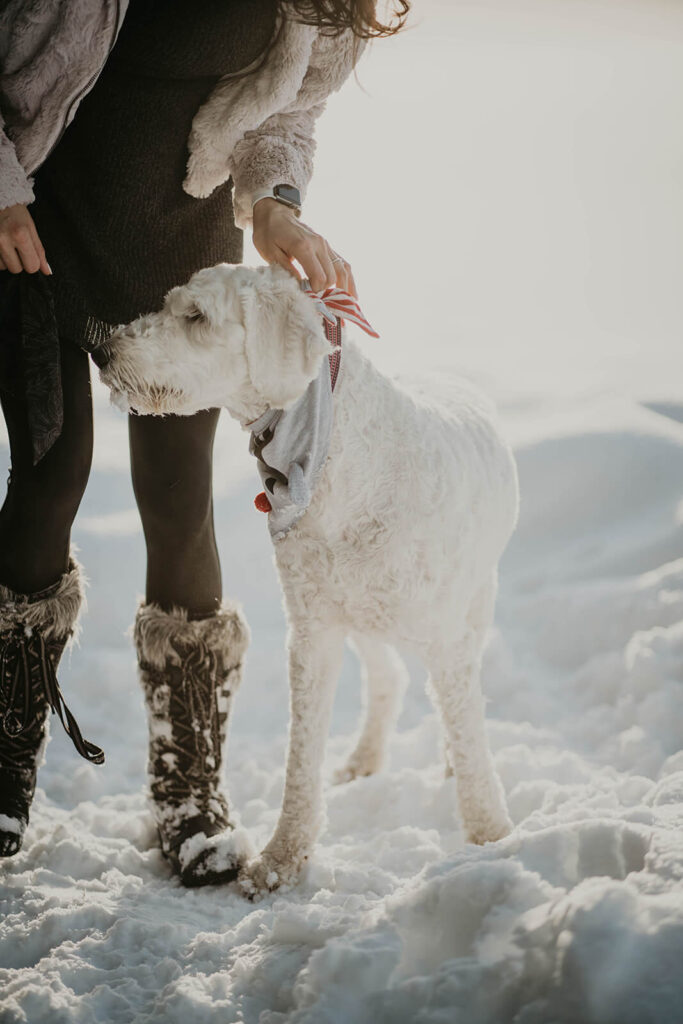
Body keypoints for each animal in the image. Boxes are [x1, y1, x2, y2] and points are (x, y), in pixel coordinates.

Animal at [100, 264, 518, 897]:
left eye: (195, 316)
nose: (102, 350)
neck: (345, 461)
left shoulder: (444, 637)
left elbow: (468, 731)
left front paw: (491, 835)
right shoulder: (313, 629)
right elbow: (301, 757)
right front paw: (281, 859)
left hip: (472, 599)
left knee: (454, 691)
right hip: (362, 612)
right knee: (389, 677)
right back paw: (364, 759)